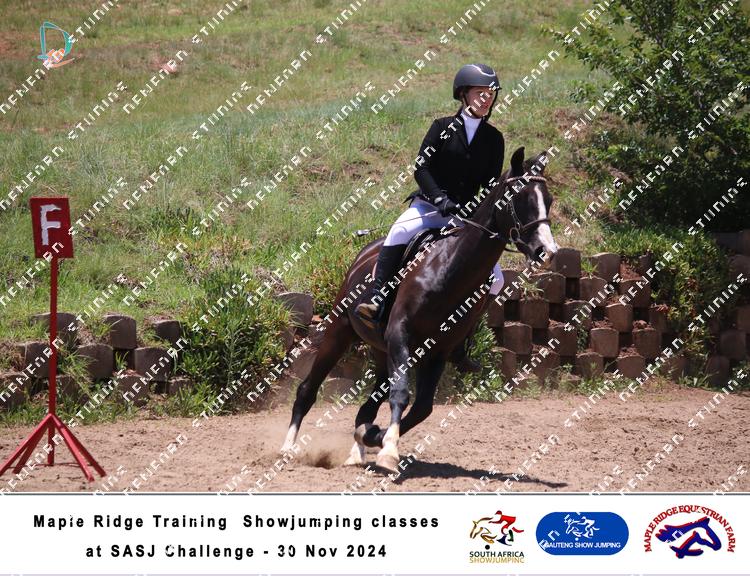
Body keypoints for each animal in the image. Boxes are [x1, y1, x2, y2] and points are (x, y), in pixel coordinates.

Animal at [281, 147, 560, 472]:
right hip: (340, 332)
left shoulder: (438, 350)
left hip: (382, 351)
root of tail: (364, 253)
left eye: (548, 200)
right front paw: (388, 451)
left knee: (369, 403)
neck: (449, 270)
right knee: (308, 390)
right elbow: (402, 394)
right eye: (520, 198)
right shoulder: (401, 334)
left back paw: (358, 448)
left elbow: (422, 407)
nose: (547, 252)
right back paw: (287, 448)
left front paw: (374, 436)